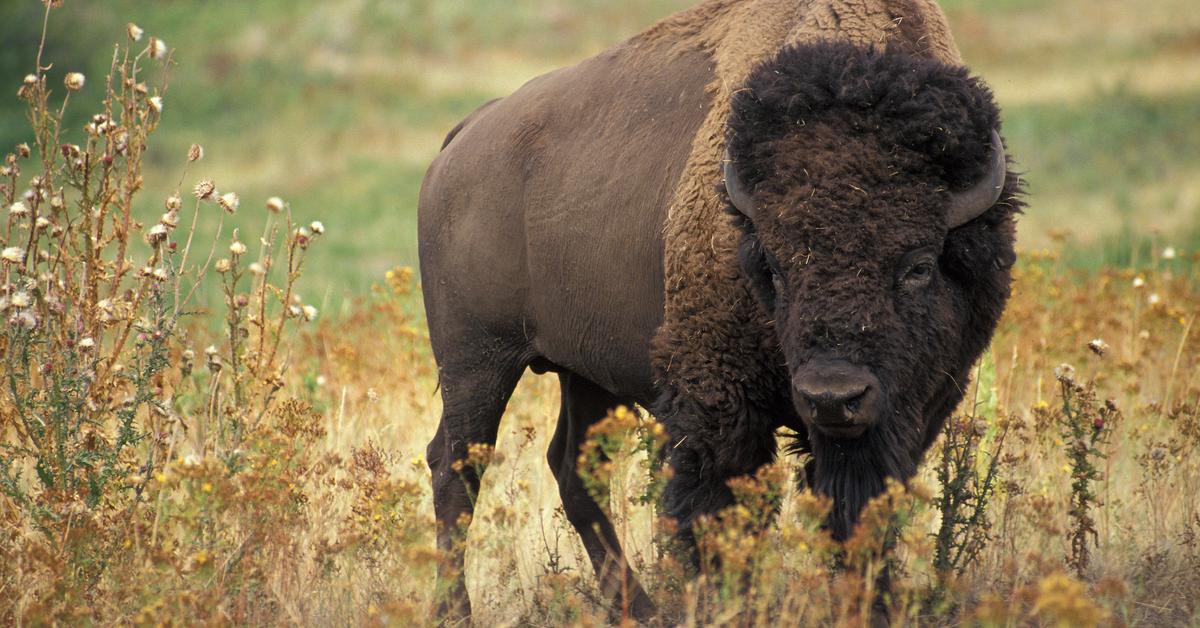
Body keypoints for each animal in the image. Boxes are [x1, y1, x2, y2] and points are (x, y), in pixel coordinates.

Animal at [417, 0, 1017, 619]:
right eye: (772, 266)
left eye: (919, 265)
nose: (832, 396)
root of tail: (464, 138)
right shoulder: (718, 403)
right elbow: (720, 511)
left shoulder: (907, 412)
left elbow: (860, 513)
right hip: (476, 361)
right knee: (456, 466)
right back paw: (454, 610)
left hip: (583, 374)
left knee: (572, 467)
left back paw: (640, 609)